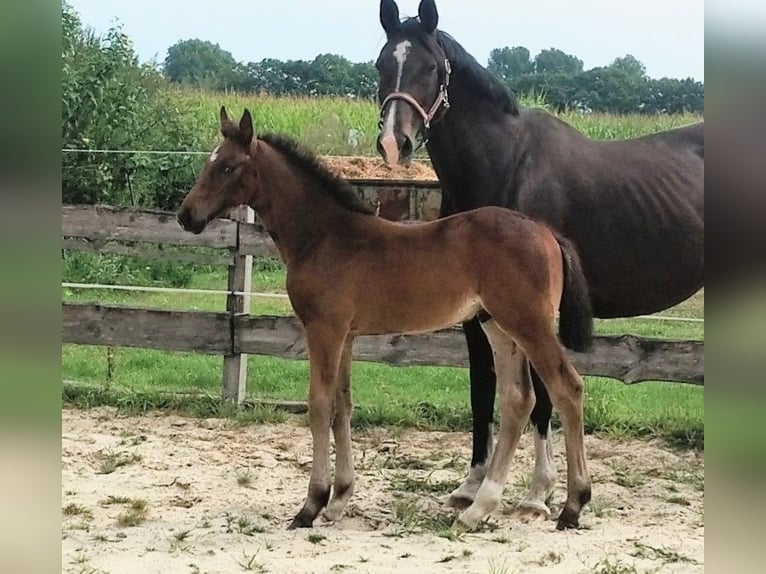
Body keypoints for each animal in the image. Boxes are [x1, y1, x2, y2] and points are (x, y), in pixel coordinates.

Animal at [177, 107, 594, 530]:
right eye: (210, 163)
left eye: (228, 166)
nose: (185, 215)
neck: (325, 237)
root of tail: (546, 232)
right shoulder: (345, 335)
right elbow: (342, 405)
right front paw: (339, 499)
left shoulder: (324, 330)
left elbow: (319, 405)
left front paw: (311, 504)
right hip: (498, 326)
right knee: (518, 399)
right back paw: (478, 509)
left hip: (529, 324)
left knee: (567, 387)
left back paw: (572, 504)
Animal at [375, 0, 704, 518]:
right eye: (381, 65)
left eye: (431, 68)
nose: (394, 143)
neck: (507, 164)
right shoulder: (479, 315)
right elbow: (482, 389)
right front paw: (472, 486)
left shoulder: (534, 314)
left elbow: (545, 395)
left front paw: (537, 494)